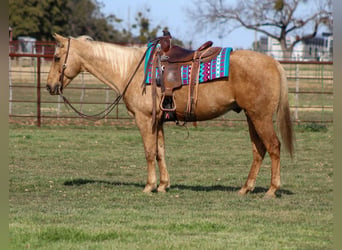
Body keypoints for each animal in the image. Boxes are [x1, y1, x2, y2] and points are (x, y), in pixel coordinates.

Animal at [46, 34, 294, 199]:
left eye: (57, 57)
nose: (49, 86)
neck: (131, 70)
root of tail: (273, 62)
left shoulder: (144, 119)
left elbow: (149, 152)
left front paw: (149, 186)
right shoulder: (158, 121)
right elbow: (160, 152)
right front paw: (164, 185)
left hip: (260, 117)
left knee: (273, 147)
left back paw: (272, 190)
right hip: (252, 117)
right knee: (258, 150)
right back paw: (245, 188)